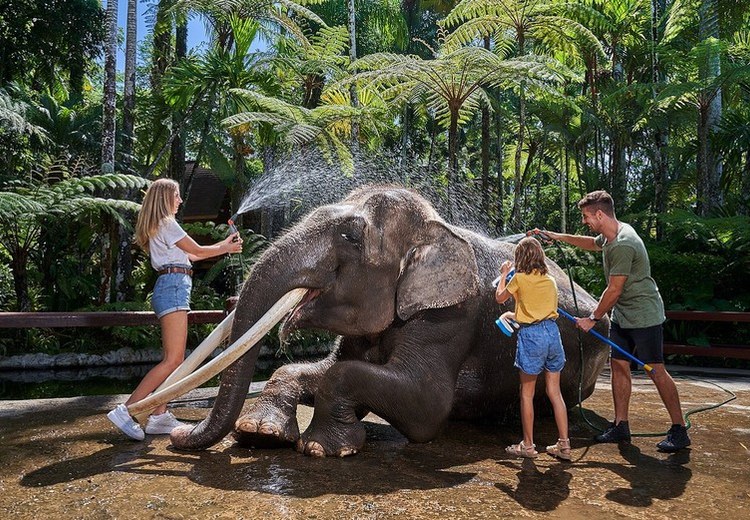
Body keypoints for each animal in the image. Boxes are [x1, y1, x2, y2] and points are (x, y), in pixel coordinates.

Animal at [169, 185, 610, 457]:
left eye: (350, 237)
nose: (176, 433)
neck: (435, 226)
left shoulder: (451, 316)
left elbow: (426, 405)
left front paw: (319, 448)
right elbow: (320, 367)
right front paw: (259, 433)